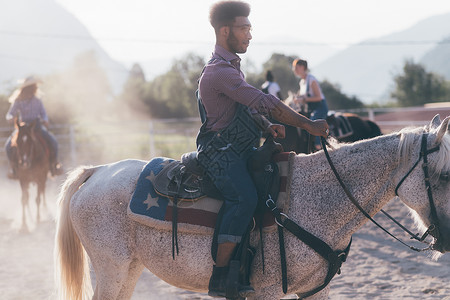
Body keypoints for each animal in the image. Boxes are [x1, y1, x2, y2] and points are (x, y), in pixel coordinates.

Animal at [53, 115, 450, 300]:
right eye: (445, 175)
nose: (446, 240)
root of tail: (97, 171)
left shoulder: (316, 290)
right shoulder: (267, 291)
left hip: (129, 269)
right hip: (112, 269)